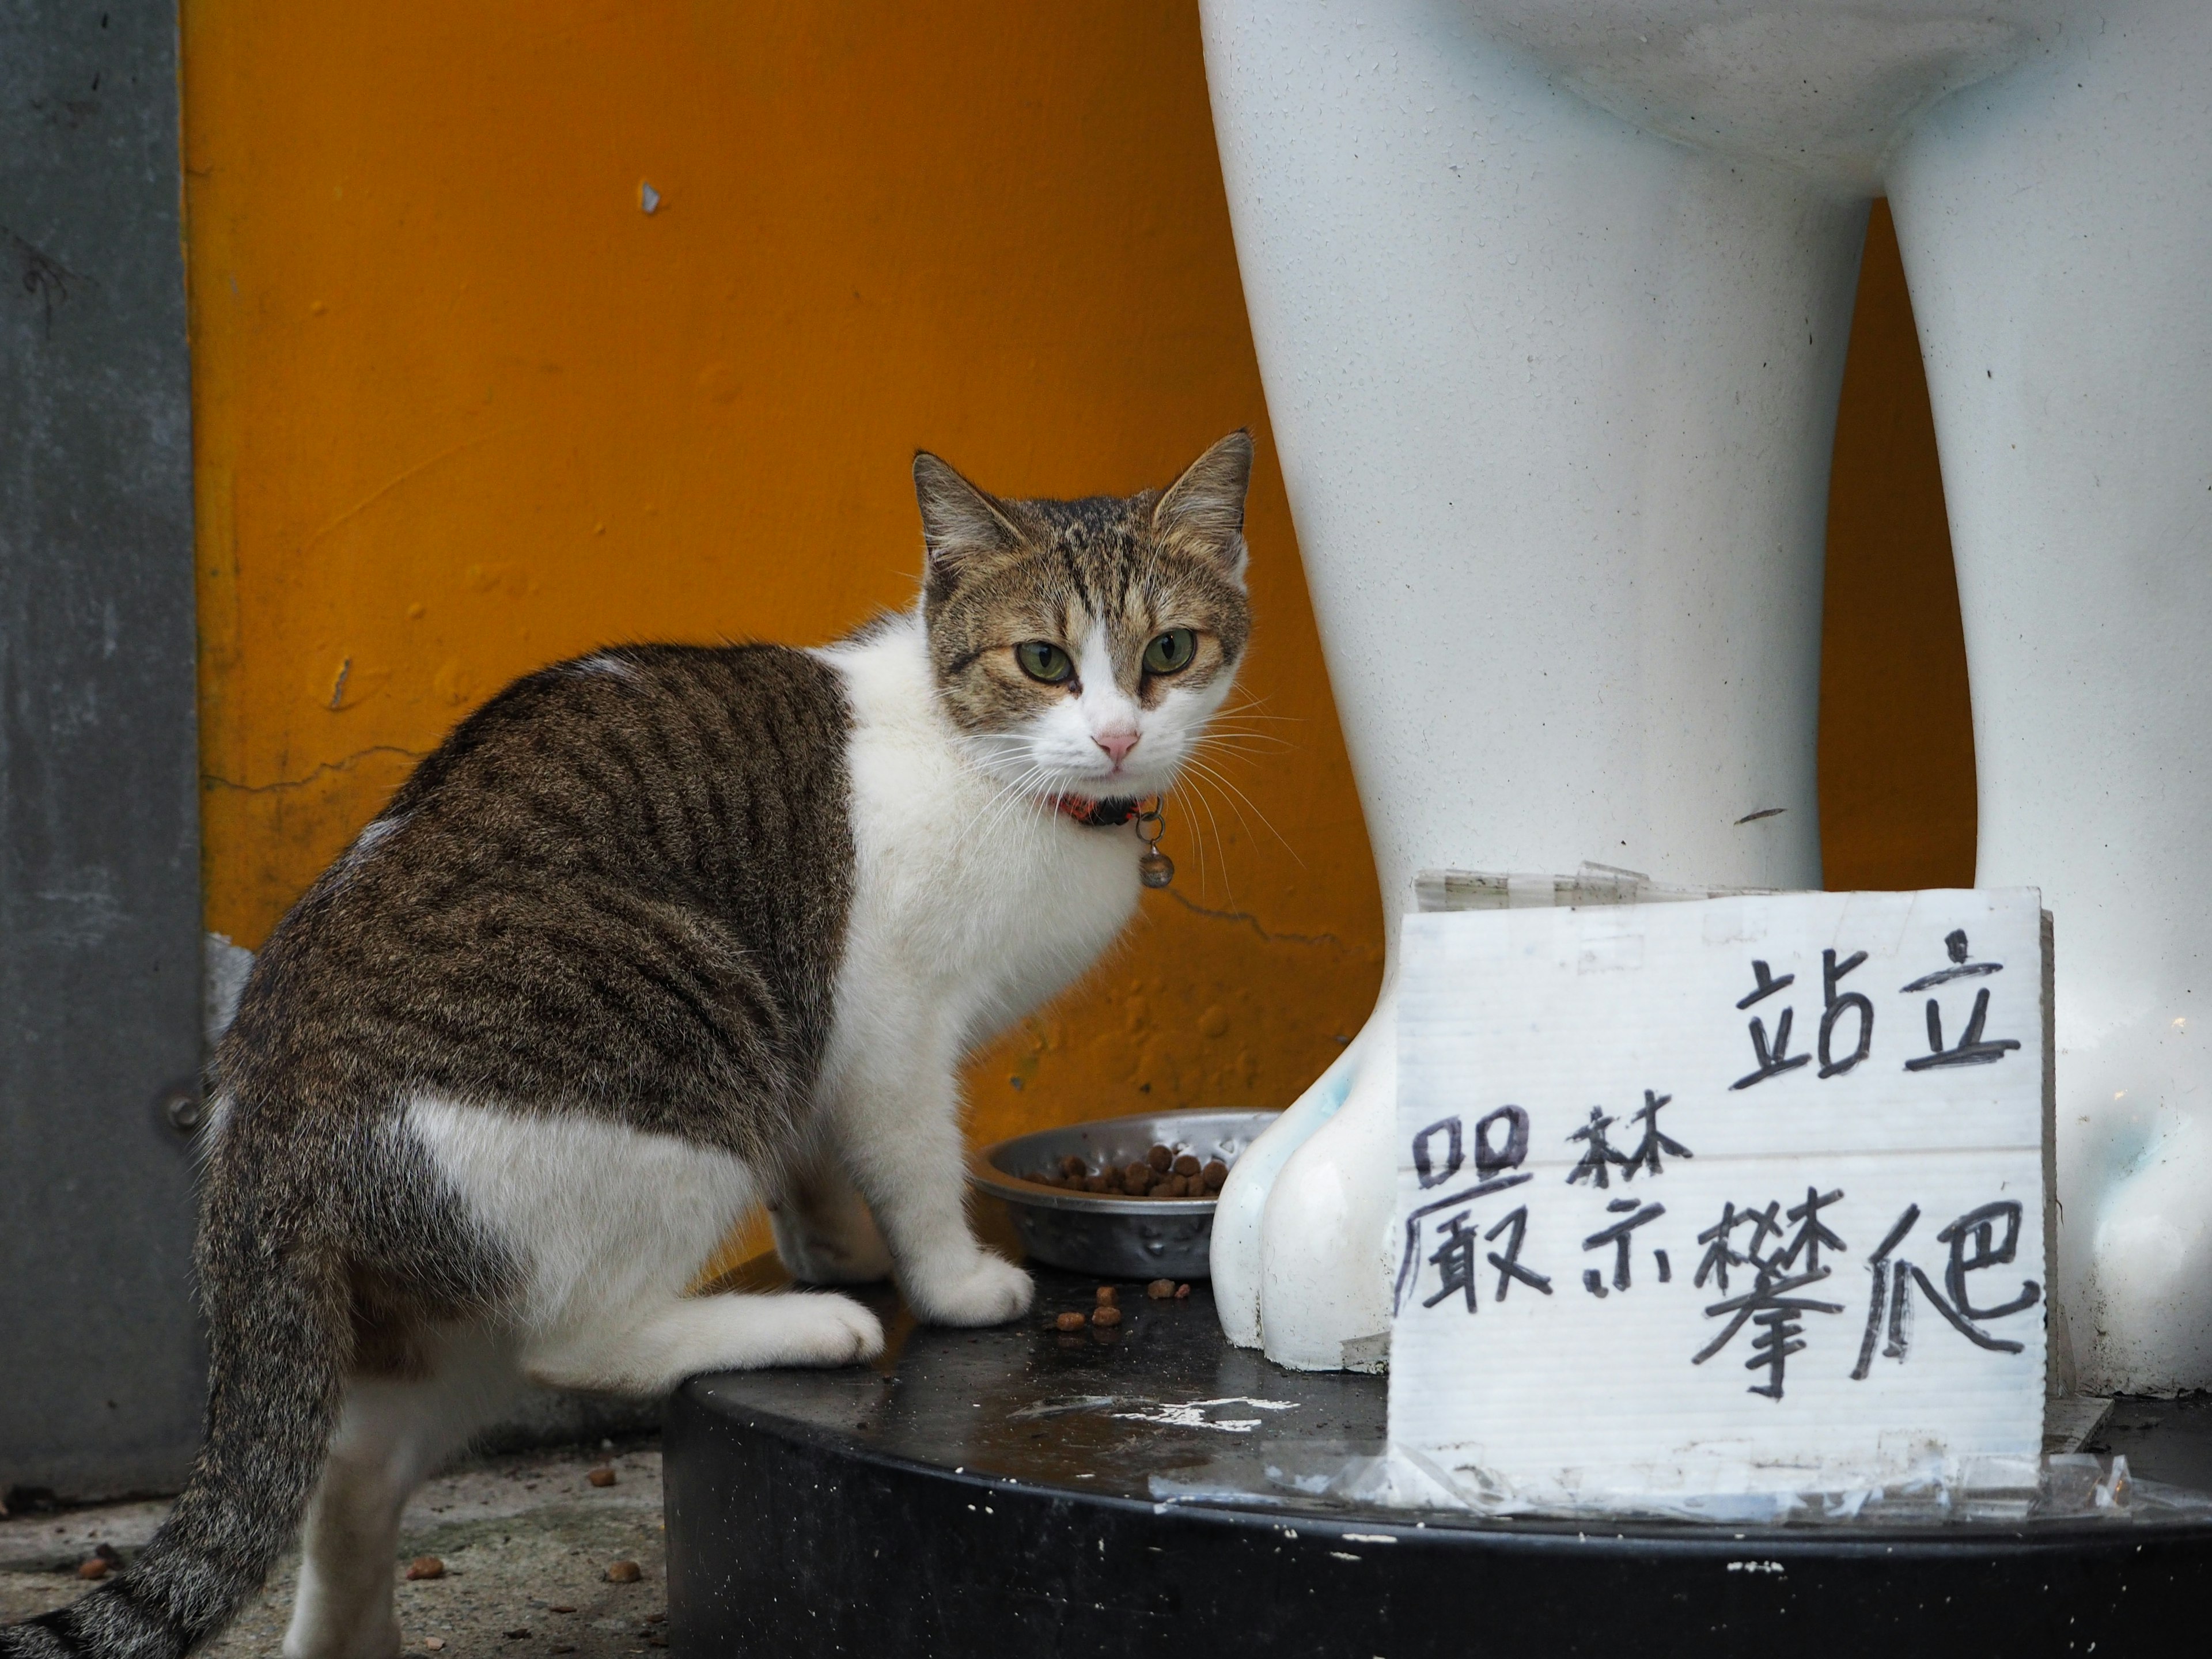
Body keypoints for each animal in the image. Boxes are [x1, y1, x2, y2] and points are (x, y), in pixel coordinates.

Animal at [0, 431, 1256, 1659]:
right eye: (1043, 661)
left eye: (1170, 651)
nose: (1117, 736)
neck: (985, 765)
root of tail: (258, 1114)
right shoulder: (888, 1027)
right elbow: (914, 1166)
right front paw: (945, 1283)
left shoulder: (814, 1040)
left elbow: (813, 1156)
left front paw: (834, 1244)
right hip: (697, 1054)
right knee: (578, 1341)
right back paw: (811, 1328)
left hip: (442, 1300)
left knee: (349, 1473)